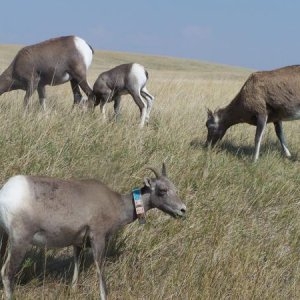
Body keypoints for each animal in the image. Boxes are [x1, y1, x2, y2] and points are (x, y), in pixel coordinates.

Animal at [0, 164, 185, 300]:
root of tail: (5, 194)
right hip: (20, 241)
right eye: (162, 190)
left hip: (5, 238)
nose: (183, 210)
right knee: (7, 273)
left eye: (175, 188)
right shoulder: (98, 239)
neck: (116, 205)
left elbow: (76, 267)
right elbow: (101, 273)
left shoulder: (78, 244)